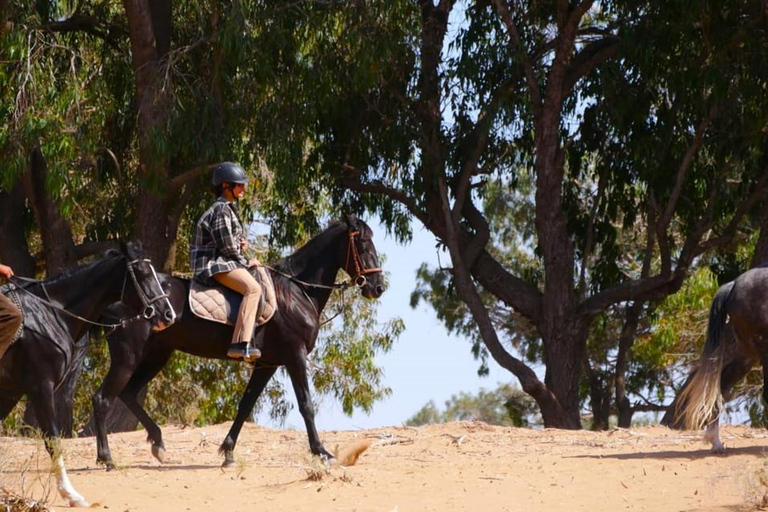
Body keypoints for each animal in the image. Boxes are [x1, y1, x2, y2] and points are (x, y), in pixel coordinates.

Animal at [0, 242, 176, 507]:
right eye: (143, 273)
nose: (168, 314)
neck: (50, 315)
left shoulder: (12, 392)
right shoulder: (41, 387)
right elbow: (54, 440)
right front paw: (71, 494)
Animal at [92, 215, 386, 469]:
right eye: (363, 244)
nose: (378, 287)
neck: (296, 291)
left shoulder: (267, 363)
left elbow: (245, 405)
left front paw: (228, 451)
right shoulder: (295, 355)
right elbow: (306, 405)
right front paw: (322, 452)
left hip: (158, 355)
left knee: (128, 393)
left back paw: (158, 443)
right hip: (129, 356)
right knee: (103, 398)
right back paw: (106, 458)